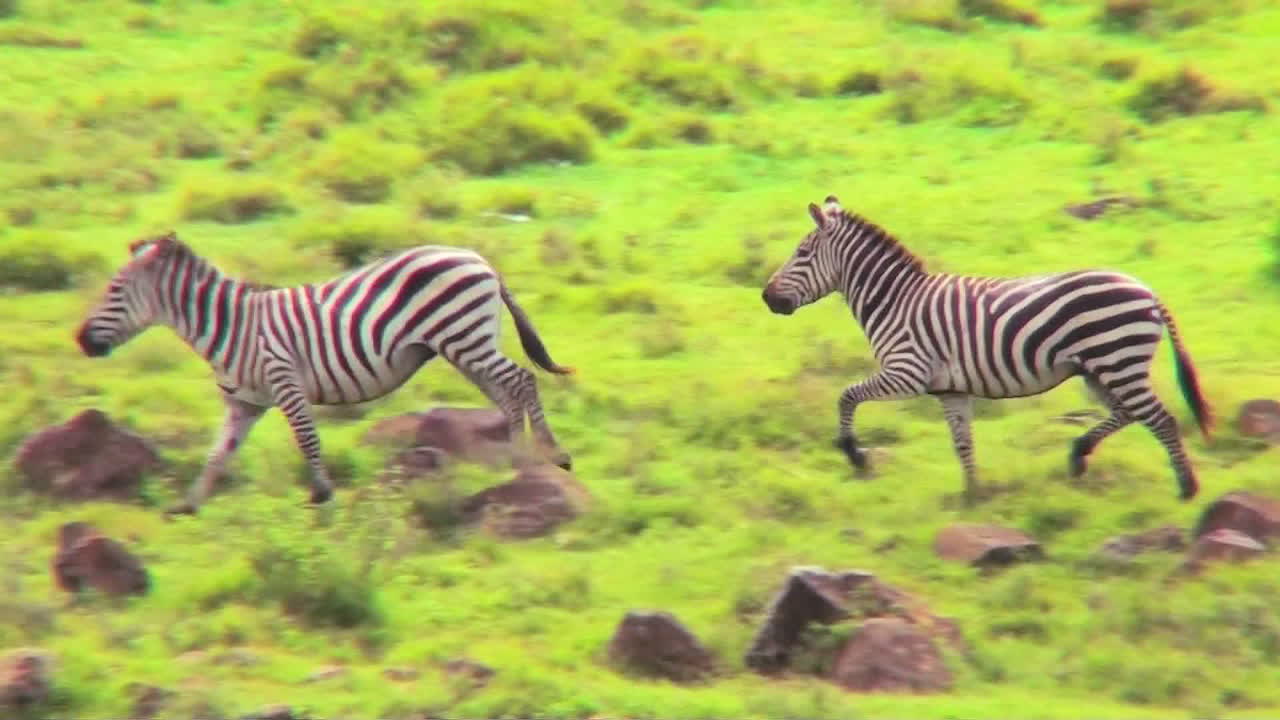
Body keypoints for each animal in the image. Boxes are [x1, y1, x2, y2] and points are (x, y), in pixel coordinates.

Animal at [75, 231, 574, 514]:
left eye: (114, 290)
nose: (81, 340)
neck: (231, 327)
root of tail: (477, 258)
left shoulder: (285, 380)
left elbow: (307, 440)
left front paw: (323, 494)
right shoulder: (243, 403)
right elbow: (218, 454)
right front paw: (188, 504)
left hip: (463, 336)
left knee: (521, 380)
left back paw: (551, 454)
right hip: (463, 345)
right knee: (506, 391)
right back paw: (516, 459)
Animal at [761, 196, 1213, 505]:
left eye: (802, 253)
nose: (767, 297)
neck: (894, 302)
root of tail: (1148, 291)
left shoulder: (907, 372)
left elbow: (847, 395)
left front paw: (854, 454)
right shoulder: (950, 389)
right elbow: (963, 444)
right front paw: (972, 493)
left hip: (1116, 359)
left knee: (1159, 418)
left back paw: (1187, 488)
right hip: (1100, 368)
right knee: (1129, 413)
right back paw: (1079, 454)